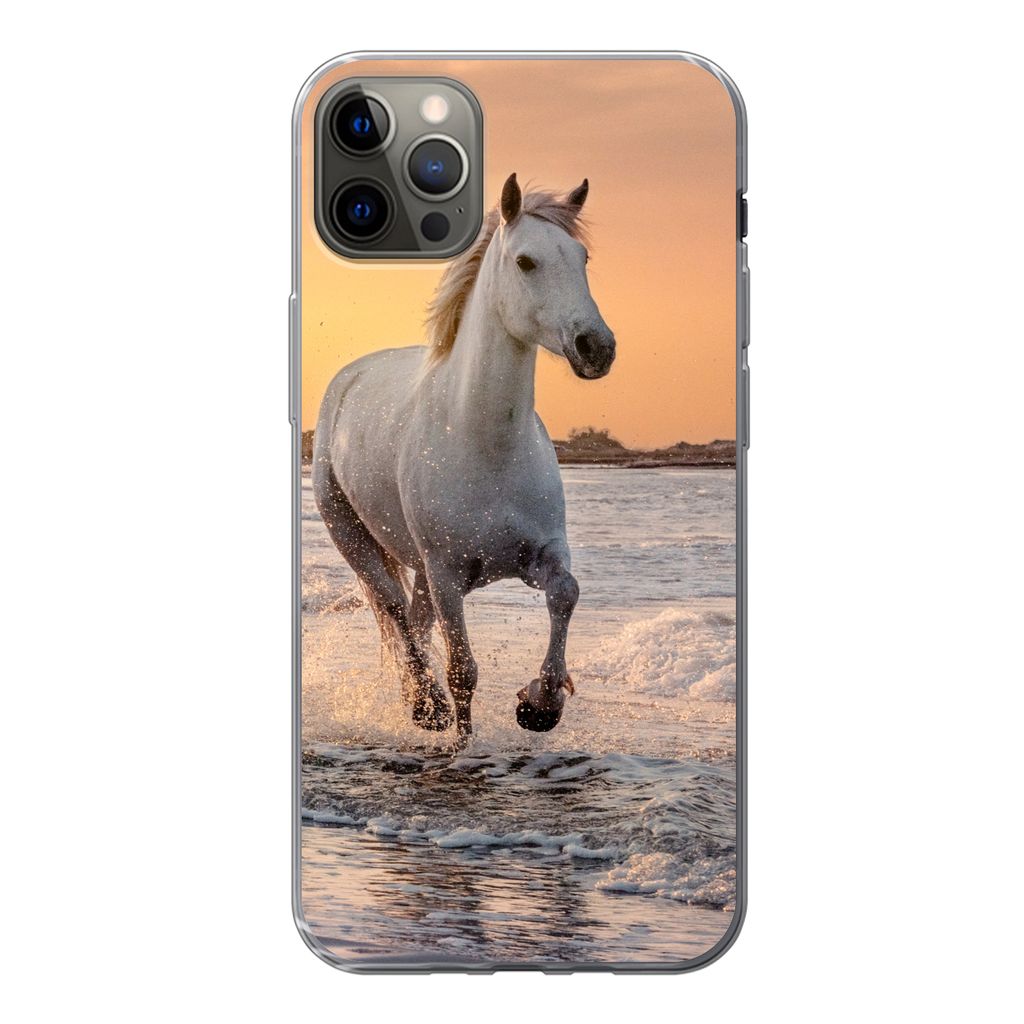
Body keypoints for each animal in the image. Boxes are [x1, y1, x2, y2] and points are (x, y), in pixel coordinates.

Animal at [312, 173, 616, 743]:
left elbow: (566, 593)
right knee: (395, 610)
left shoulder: (541, 554)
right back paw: (425, 706)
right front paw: (462, 740)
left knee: (414, 618)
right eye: (525, 262)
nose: (597, 347)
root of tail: (349, 377)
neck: (484, 445)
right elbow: (463, 671)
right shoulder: (448, 573)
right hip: (356, 538)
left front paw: (540, 704)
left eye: (582, 257)